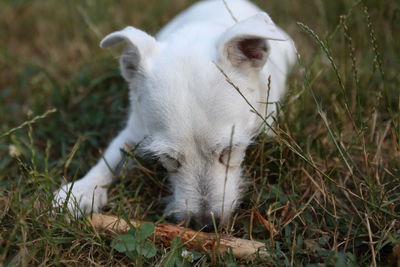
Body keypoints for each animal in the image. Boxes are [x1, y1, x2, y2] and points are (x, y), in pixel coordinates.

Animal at [53, 0, 296, 230]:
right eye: (169, 158)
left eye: (229, 151)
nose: (205, 225)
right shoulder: (135, 131)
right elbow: (110, 157)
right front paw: (82, 190)